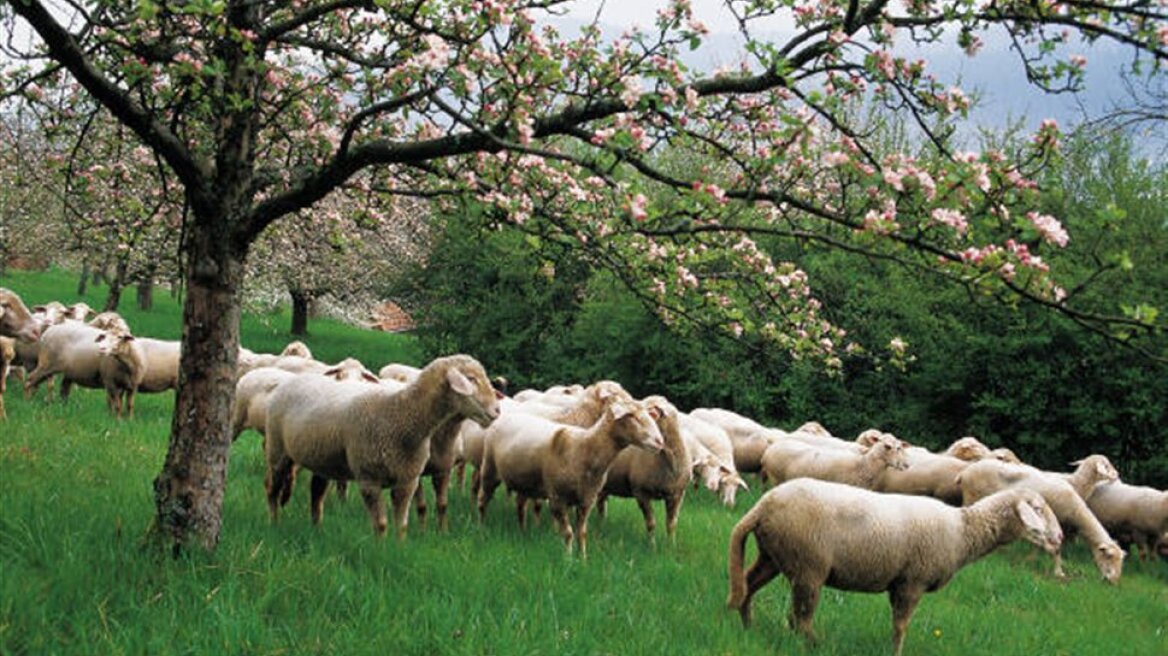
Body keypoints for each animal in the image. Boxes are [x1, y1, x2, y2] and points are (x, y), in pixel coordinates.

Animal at [262, 354, 499, 539]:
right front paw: (381, 551)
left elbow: (402, 525)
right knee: (273, 489)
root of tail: (295, 379)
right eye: (471, 379)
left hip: (322, 459)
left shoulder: (407, 480)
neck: (400, 417)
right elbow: (381, 524)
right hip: (277, 449)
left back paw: (317, 530)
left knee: (317, 494)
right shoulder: (369, 479)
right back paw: (274, 523)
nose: (497, 411)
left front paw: (398, 550)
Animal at [476, 392, 668, 555]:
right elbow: (568, 533)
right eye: (632, 416)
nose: (659, 442)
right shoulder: (557, 498)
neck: (582, 448)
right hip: (489, 469)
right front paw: (567, 561)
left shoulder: (586, 500)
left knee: (520, 506)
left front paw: (582, 560)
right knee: (482, 500)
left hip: (524, 480)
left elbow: (581, 533)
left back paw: (522, 532)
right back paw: (481, 528)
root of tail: (506, 416)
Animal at [724, 473, 1065, 653]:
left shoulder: (899, 583)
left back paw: (748, 627)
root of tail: (763, 506)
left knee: (748, 588)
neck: (962, 530)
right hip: (809, 565)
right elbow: (901, 626)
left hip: (775, 555)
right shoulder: (912, 582)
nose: (1060, 537)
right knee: (801, 618)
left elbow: (897, 625)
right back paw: (817, 645)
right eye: (1038, 509)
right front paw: (896, 652)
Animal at [756, 431, 911, 487]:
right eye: (887, 446)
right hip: (775, 478)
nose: (906, 465)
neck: (864, 464)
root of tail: (769, 449)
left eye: (900, 447)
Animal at [953, 457, 1125, 578]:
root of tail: (965, 472)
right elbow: (1057, 547)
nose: (1114, 581)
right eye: (1109, 556)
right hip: (971, 496)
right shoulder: (1055, 524)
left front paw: (1031, 559)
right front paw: (1059, 572)